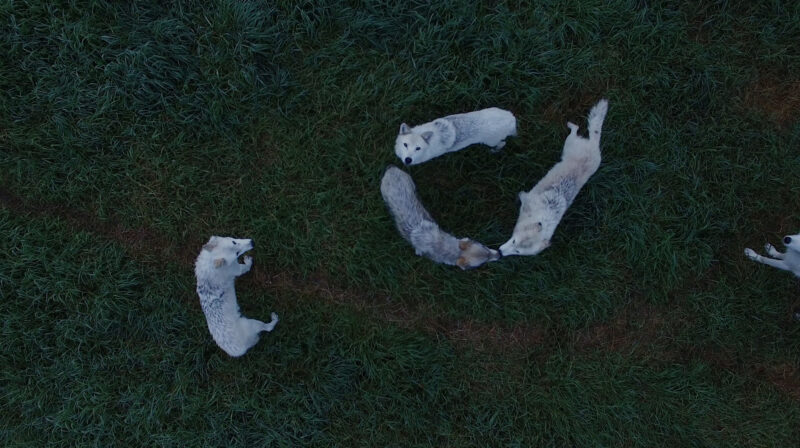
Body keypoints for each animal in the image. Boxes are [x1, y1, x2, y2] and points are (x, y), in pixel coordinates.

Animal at [499, 99, 608, 256]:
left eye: (518, 252)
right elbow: (521, 196)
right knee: (576, 130)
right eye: (513, 241)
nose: (500, 253)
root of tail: (594, 144)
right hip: (568, 144)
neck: (541, 216)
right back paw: (570, 125)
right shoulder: (527, 198)